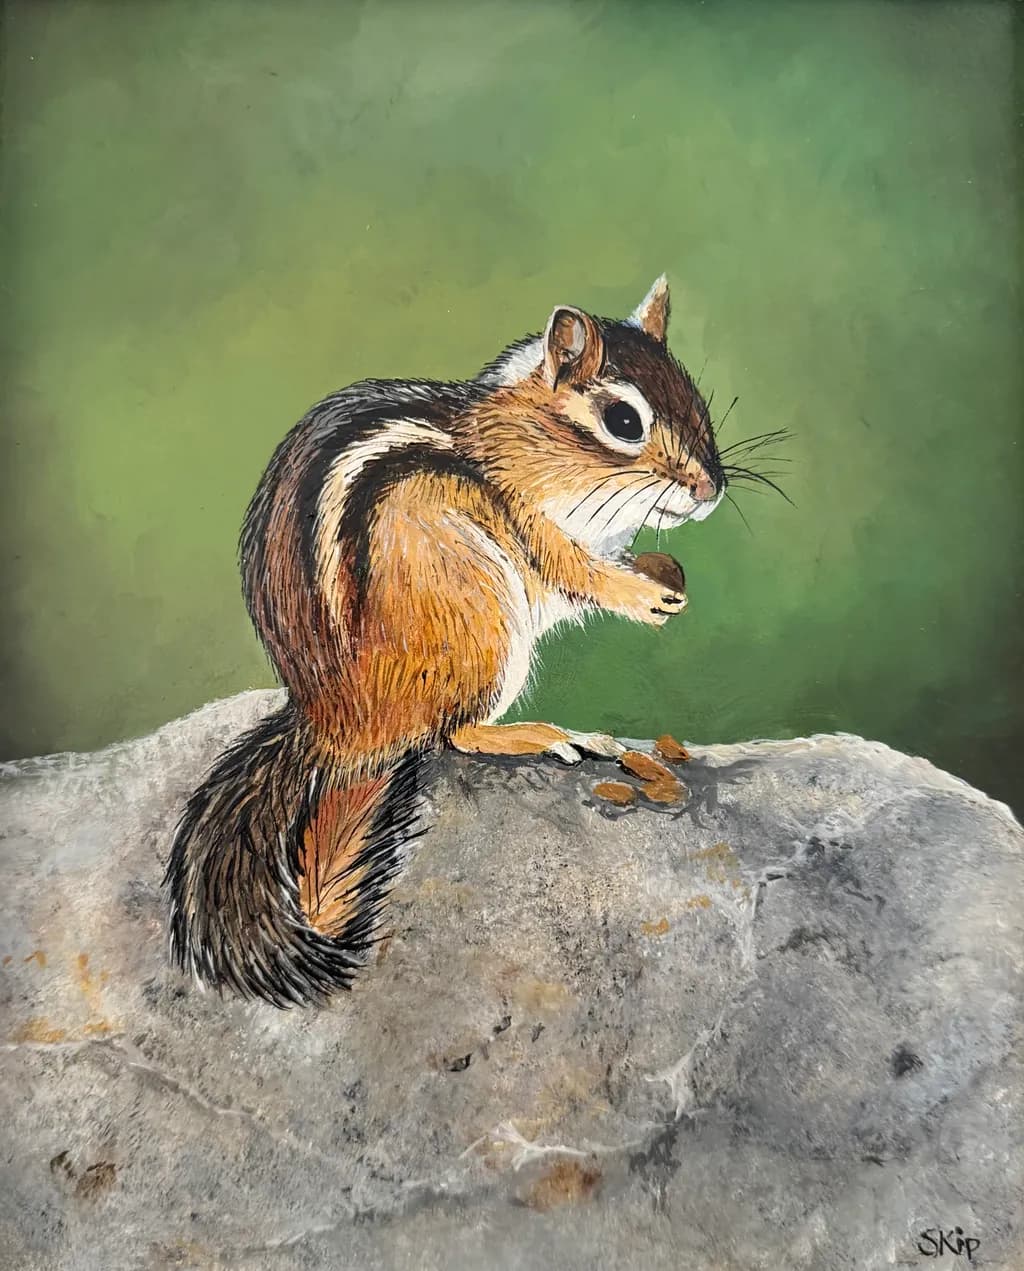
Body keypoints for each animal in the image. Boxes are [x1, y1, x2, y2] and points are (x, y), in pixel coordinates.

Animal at [164, 276, 725, 1007]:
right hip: (481, 619)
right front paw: (644, 595)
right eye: (624, 421)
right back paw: (537, 735)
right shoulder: (525, 519)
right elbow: (574, 572)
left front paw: (664, 571)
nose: (712, 488)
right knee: (452, 733)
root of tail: (338, 726)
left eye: (695, 396)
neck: (520, 443)